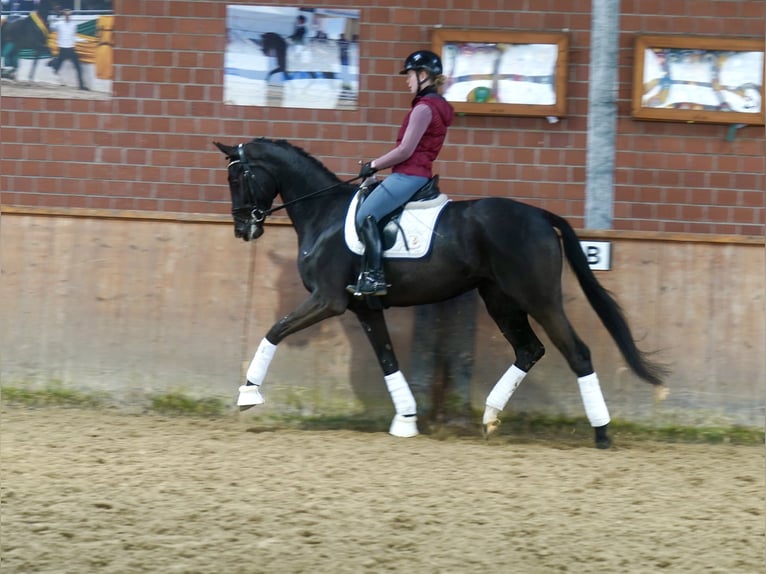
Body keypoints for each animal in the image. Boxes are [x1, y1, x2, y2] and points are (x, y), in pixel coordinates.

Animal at [213, 140, 668, 450]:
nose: (243, 229)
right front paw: (406, 419)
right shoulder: (364, 307)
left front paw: (248, 393)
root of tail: (540, 216)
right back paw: (490, 418)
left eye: (237, 177)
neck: (323, 215)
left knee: (577, 353)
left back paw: (602, 433)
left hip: (539, 299)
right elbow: (388, 360)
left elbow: (275, 330)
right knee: (529, 350)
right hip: (500, 301)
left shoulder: (328, 300)